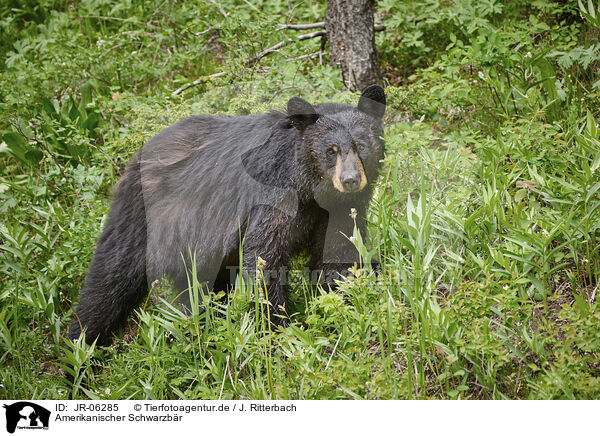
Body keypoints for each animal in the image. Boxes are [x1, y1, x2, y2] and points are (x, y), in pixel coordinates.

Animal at [69, 84, 384, 344]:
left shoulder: (338, 211)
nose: (350, 180)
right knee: (112, 276)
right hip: (145, 217)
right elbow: (264, 256)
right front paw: (276, 325)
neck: (312, 191)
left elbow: (340, 251)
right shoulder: (273, 197)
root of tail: (137, 155)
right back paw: (80, 344)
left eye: (361, 145)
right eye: (331, 150)